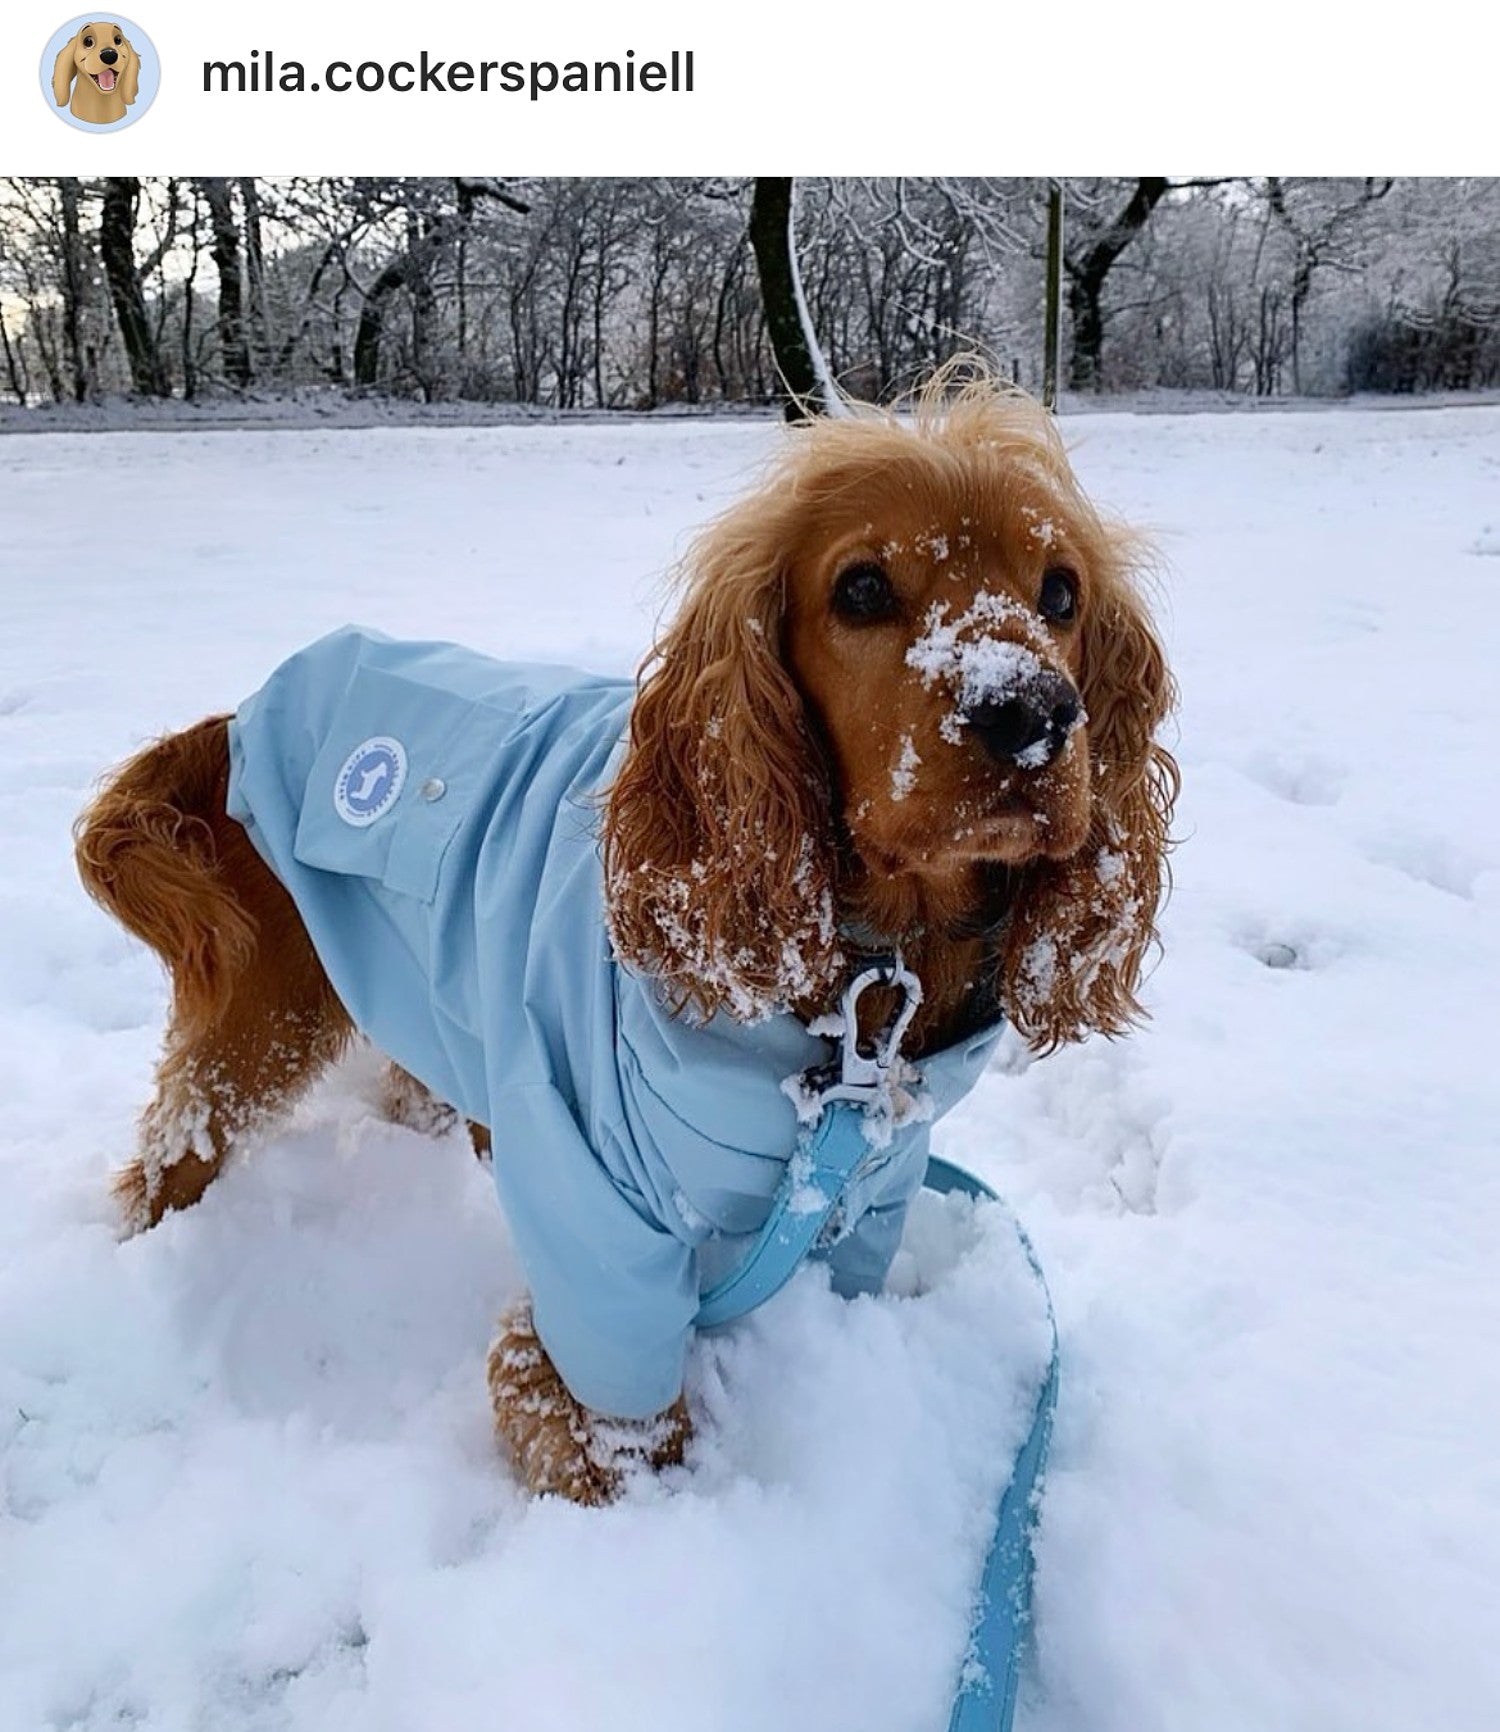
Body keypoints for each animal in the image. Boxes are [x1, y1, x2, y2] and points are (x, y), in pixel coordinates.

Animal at [76, 375, 1177, 1503]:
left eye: (1061, 594)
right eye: (863, 587)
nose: (1034, 715)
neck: (870, 965)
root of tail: (232, 721)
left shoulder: (871, 1189)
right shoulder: (599, 1220)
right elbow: (613, 1419)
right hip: (269, 1011)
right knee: (175, 1146)